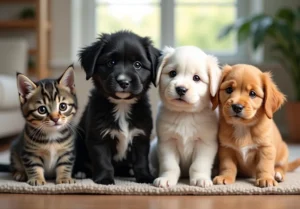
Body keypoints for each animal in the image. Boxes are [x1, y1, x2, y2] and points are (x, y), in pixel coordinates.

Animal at [73, 30, 161, 185]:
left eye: (138, 64)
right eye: (110, 62)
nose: (123, 81)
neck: (122, 105)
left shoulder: (141, 137)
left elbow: (141, 161)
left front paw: (144, 177)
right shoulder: (98, 137)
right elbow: (103, 161)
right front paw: (105, 179)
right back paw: (81, 171)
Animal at [151, 46, 221, 188]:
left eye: (196, 78)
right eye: (172, 73)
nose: (181, 89)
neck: (185, 115)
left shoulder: (205, 143)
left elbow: (198, 165)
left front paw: (200, 179)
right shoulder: (167, 142)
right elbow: (170, 165)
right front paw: (166, 178)